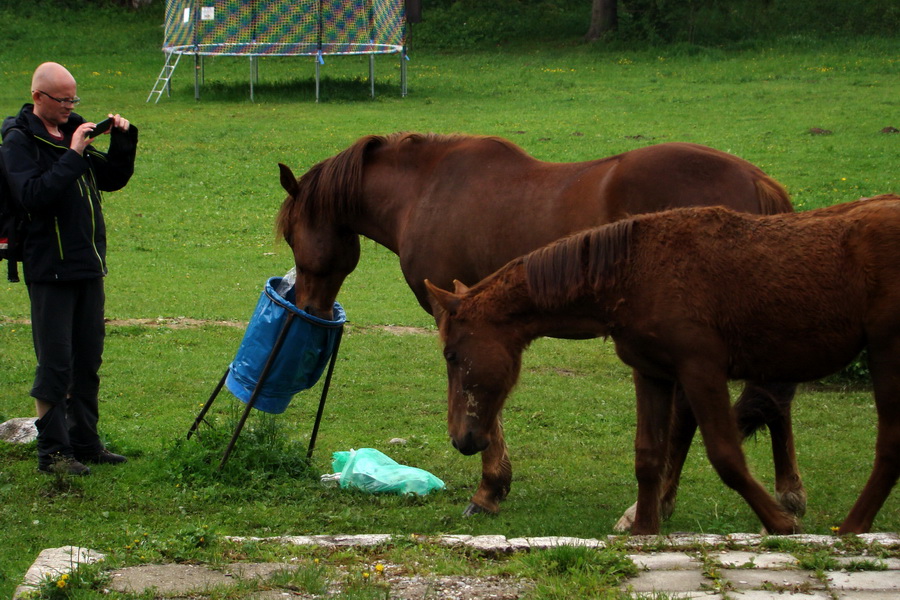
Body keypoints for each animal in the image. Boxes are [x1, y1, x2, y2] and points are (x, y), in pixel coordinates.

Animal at [274, 132, 796, 524]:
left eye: (294, 235)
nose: (307, 307)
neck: (424, 192)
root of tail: (756, 180)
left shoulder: (467, 322)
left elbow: (482, 398)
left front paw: (489, 489)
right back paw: (783, 493)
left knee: (691, 415)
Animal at [428, 196, 900, 536]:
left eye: (451, 354)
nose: (462, 439)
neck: (634, 271)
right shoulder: (652, 372)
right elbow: (649, 455)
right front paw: (644, 530)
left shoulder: (701, 370)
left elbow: (726, 455)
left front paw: (782, 525)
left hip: (886, 354)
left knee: (888, 445)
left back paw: (851, 527)